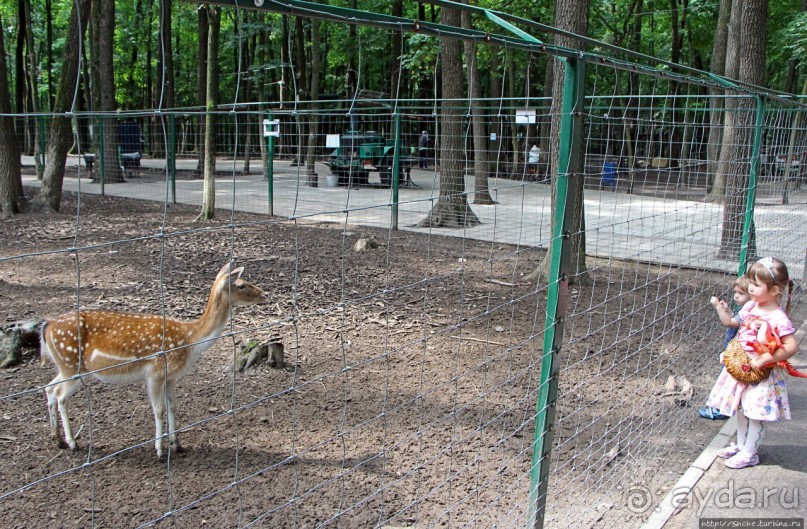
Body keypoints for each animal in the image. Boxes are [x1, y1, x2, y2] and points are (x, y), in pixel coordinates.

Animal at [41, 262, 266, 456]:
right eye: (241, 284)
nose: (264, 294)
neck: (189, 341)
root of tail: (47, 327)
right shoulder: (155, 373)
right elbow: (158, 409)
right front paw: (159, 449)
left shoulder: (171, 376)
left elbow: (172, 406)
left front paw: (177, 444)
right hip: (72, 366)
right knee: (60, 394)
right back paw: (73, 443)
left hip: (68, 367)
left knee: (49, 388)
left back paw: (57, 439)